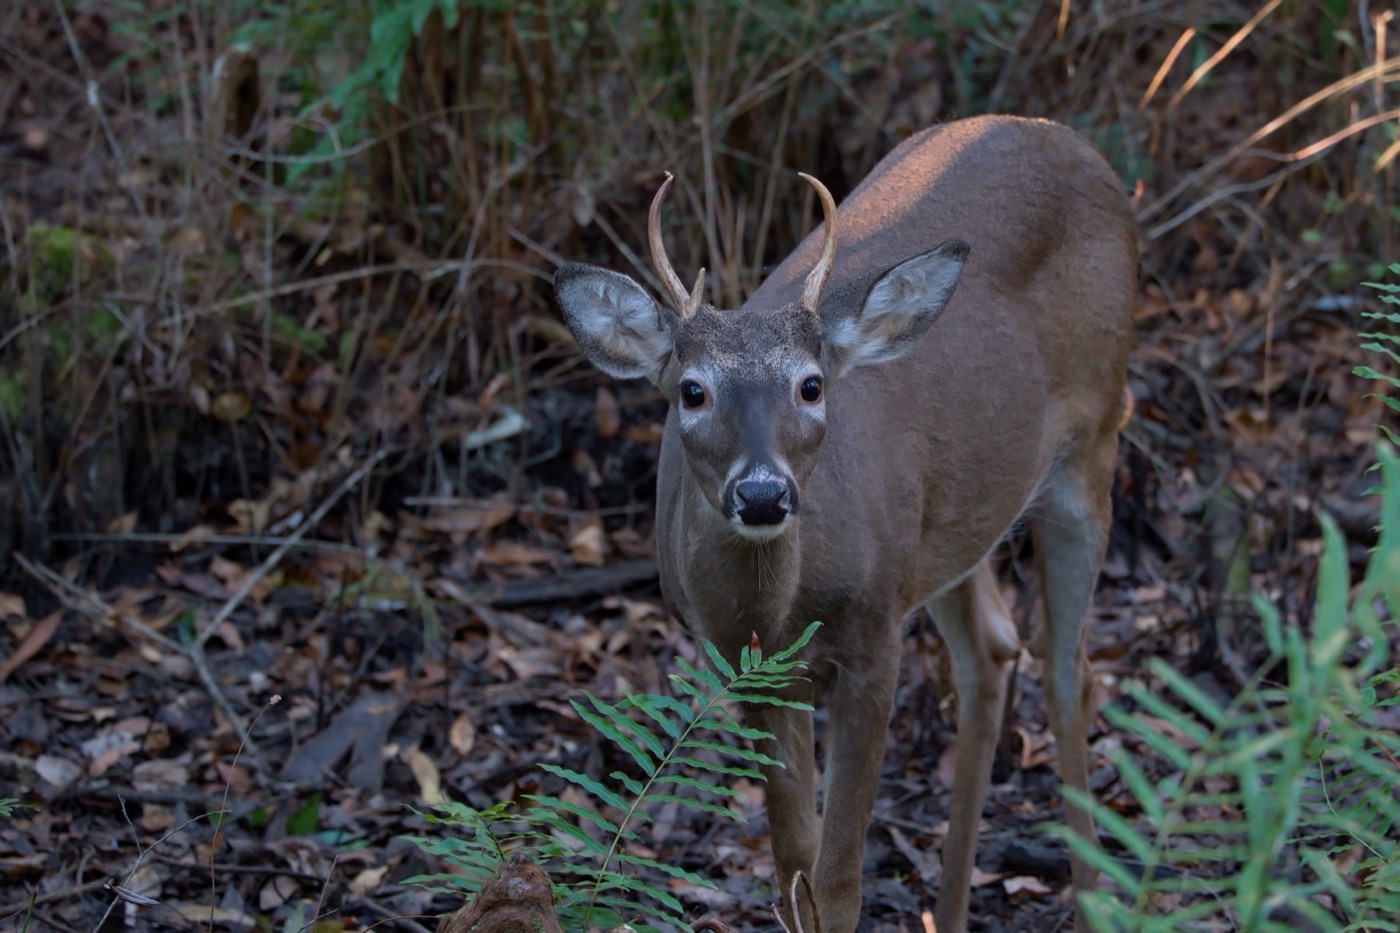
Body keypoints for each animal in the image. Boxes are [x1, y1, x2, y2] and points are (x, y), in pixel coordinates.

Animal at [553, 114, 1136, 932]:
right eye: (693, 390)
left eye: (810, 384)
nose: (763, 494)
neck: (779, 609)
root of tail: (1073, 141)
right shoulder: (751, 669)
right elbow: (793, 874)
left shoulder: (873, 637)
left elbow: (836, 884)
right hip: (950, 524)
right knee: (993, 650)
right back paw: (949, 913)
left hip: (1092, 443)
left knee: (1070, 672)